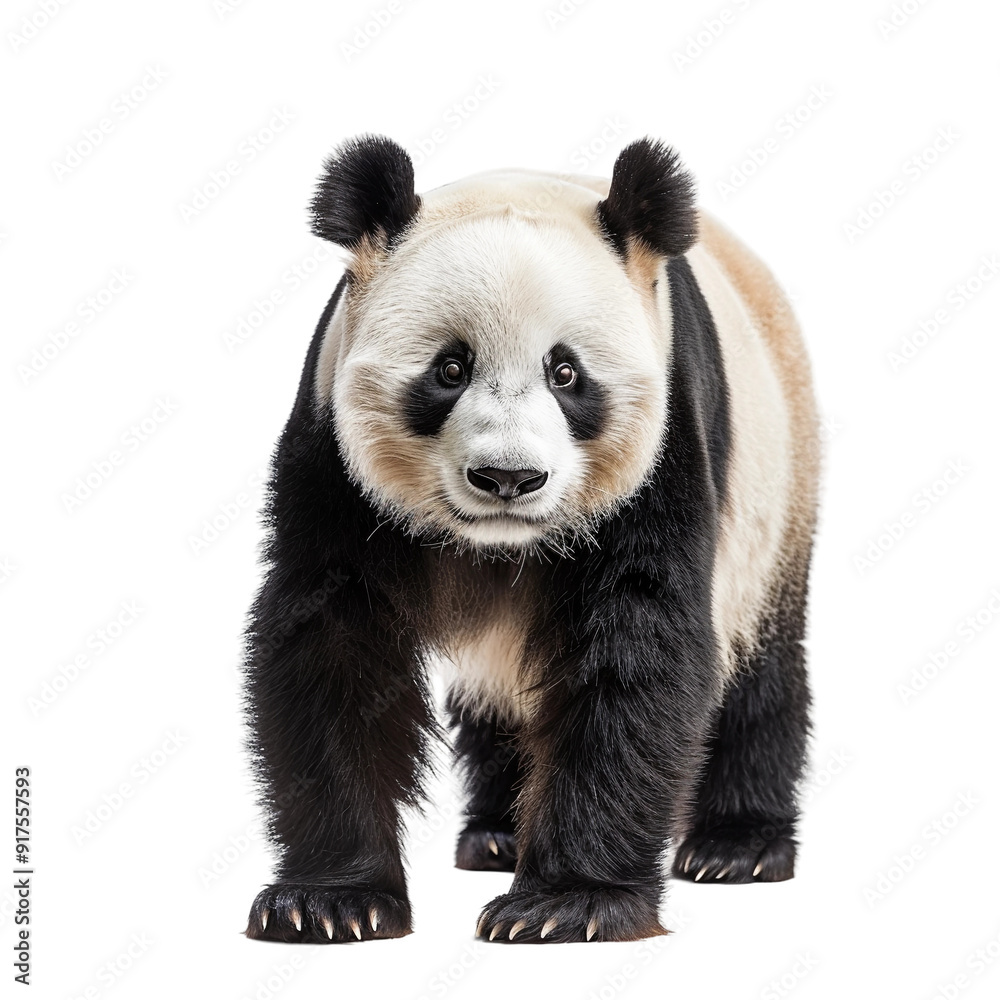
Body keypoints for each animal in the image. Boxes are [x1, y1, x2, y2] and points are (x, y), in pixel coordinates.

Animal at [243, 134, 819, 945]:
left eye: (566, 372)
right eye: (450, 368)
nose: (508, 477)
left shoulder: (665, 449)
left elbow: (632, 648)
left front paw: (565, 904)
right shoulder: (331, 459)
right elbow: (333, 646)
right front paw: (330, 901)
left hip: (777, 490)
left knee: (757, 666)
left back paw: (736, 847)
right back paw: (497, 832)